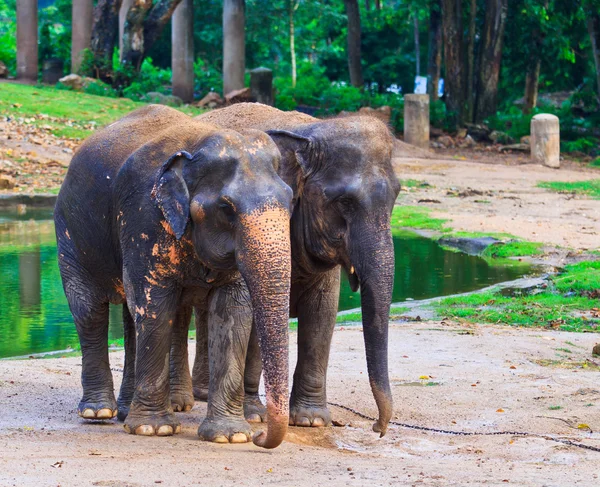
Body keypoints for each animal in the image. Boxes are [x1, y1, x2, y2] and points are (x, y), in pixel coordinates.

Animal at [55, 106, 294, 450]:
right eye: (227, 208)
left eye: (291, 201)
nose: (261, 436)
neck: (199, 142)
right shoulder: (143, 213)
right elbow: (154, 304)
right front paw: (153, 430)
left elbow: (233, 312)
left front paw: (230, 436)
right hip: (70, 233)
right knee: (89, 310)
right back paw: (98, 412)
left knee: (131, 316)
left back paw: (126, 411)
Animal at [184, 104, 404, 438]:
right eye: (344, 201)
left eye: (396, 196)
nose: (378, 428)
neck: (308, 132)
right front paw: (255, 416)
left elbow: (322, 313)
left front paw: (311, 420)